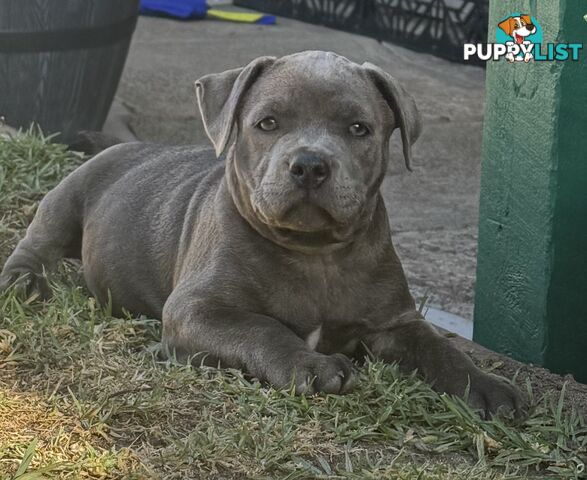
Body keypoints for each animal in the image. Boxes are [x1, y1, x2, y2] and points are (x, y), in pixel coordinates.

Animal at [0, 50, 524, 414]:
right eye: (267, 123)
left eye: (359, 128)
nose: (310, 164)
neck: (316, 254)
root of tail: (125, 144)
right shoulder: (196, 310)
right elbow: (262, 329)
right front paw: (311, 365)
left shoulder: (396, 323)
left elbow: (440, 349)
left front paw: (488, 387)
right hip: (66, 199)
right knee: (36, 243)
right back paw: (23, 281)